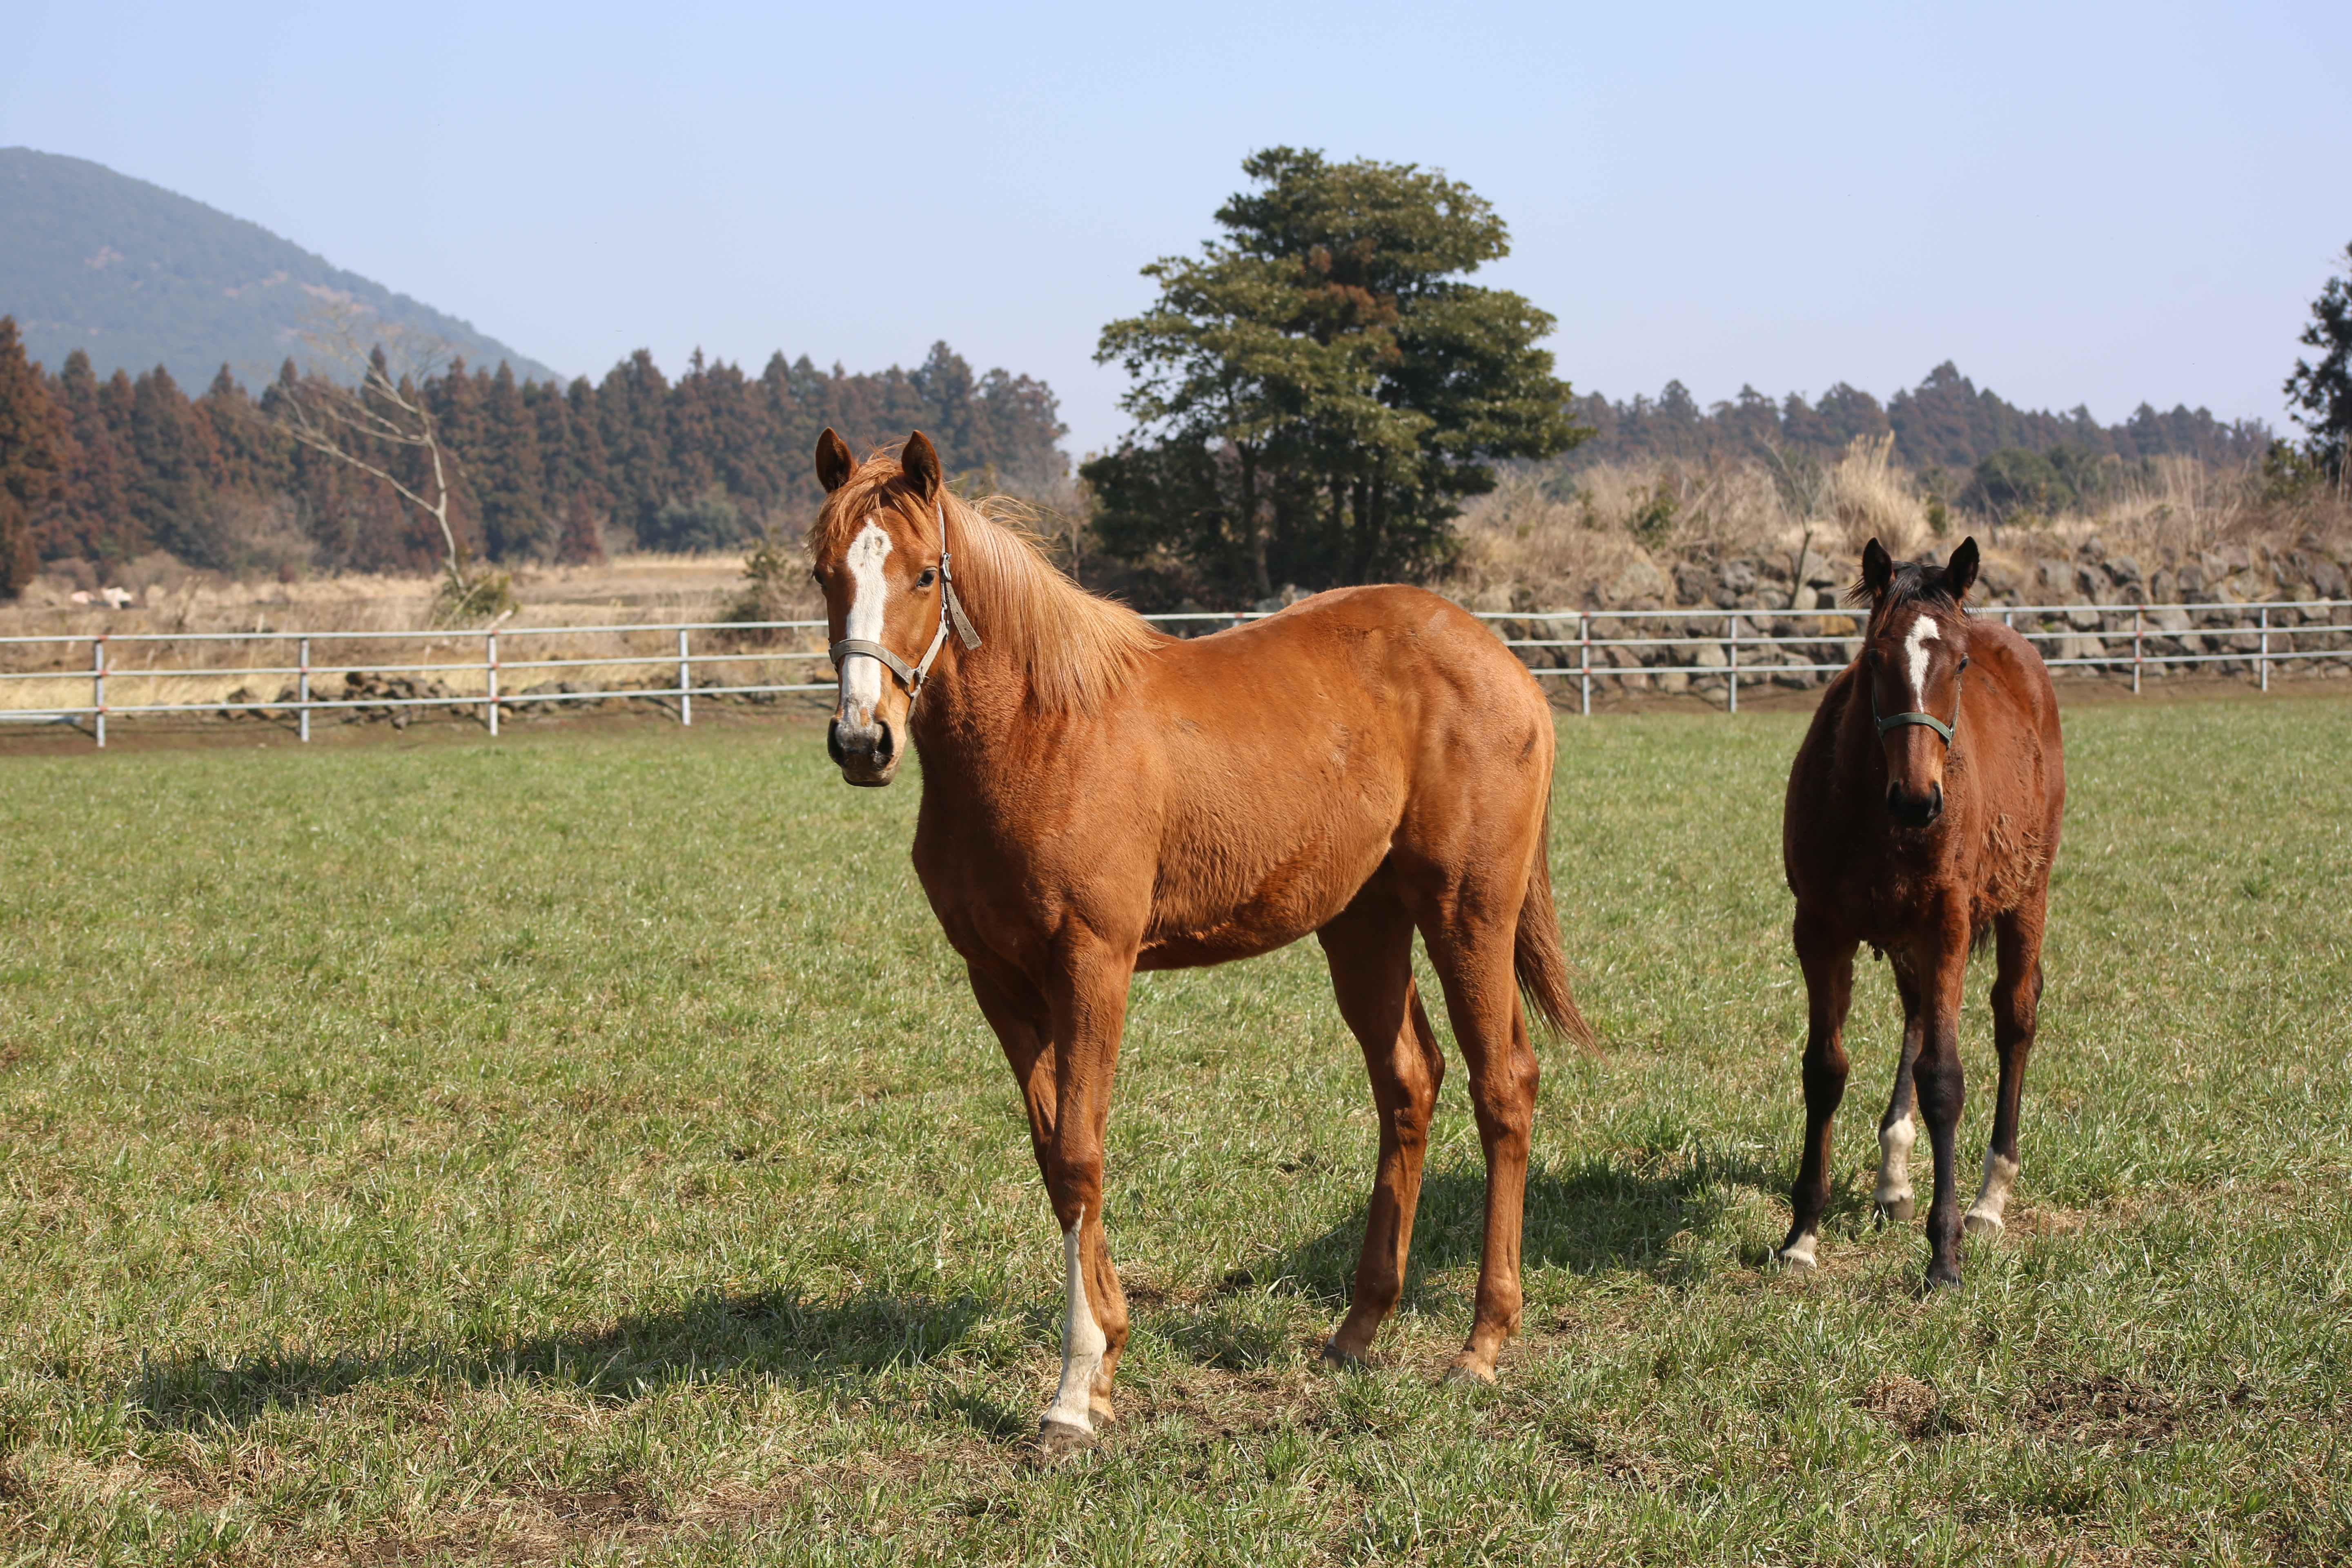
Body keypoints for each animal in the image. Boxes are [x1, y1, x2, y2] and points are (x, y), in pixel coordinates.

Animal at [809, 432, 1599, 1457]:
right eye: (826, 573)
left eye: (923, 573)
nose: (862, 741)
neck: (1037, 734)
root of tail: (1500, 660)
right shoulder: (1000, 983)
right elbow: (1053, 1154)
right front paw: (1107, 1357)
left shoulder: (1093, 967)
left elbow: (1080, 1153)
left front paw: (1073, 1394)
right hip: (1364, 922)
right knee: (1408, 1083)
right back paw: (1358, 1326)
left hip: (1469, 910)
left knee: (1502, 1084)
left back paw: (1482, 1343)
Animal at [1768, 541, 2069, 1288]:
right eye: (1875, 657)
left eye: (1959, 664)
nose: (1917, 799)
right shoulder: (1820, 929)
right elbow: (1825, 1070)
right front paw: (1802, 1236)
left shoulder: (1949, 927)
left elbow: (1944, 1079)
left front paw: (1945, 1253)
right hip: (1906, 937)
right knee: (1913, 1019)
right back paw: (1894, 1178)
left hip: (2027, 896)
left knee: (2016, 1019)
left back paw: (1990, 1198)